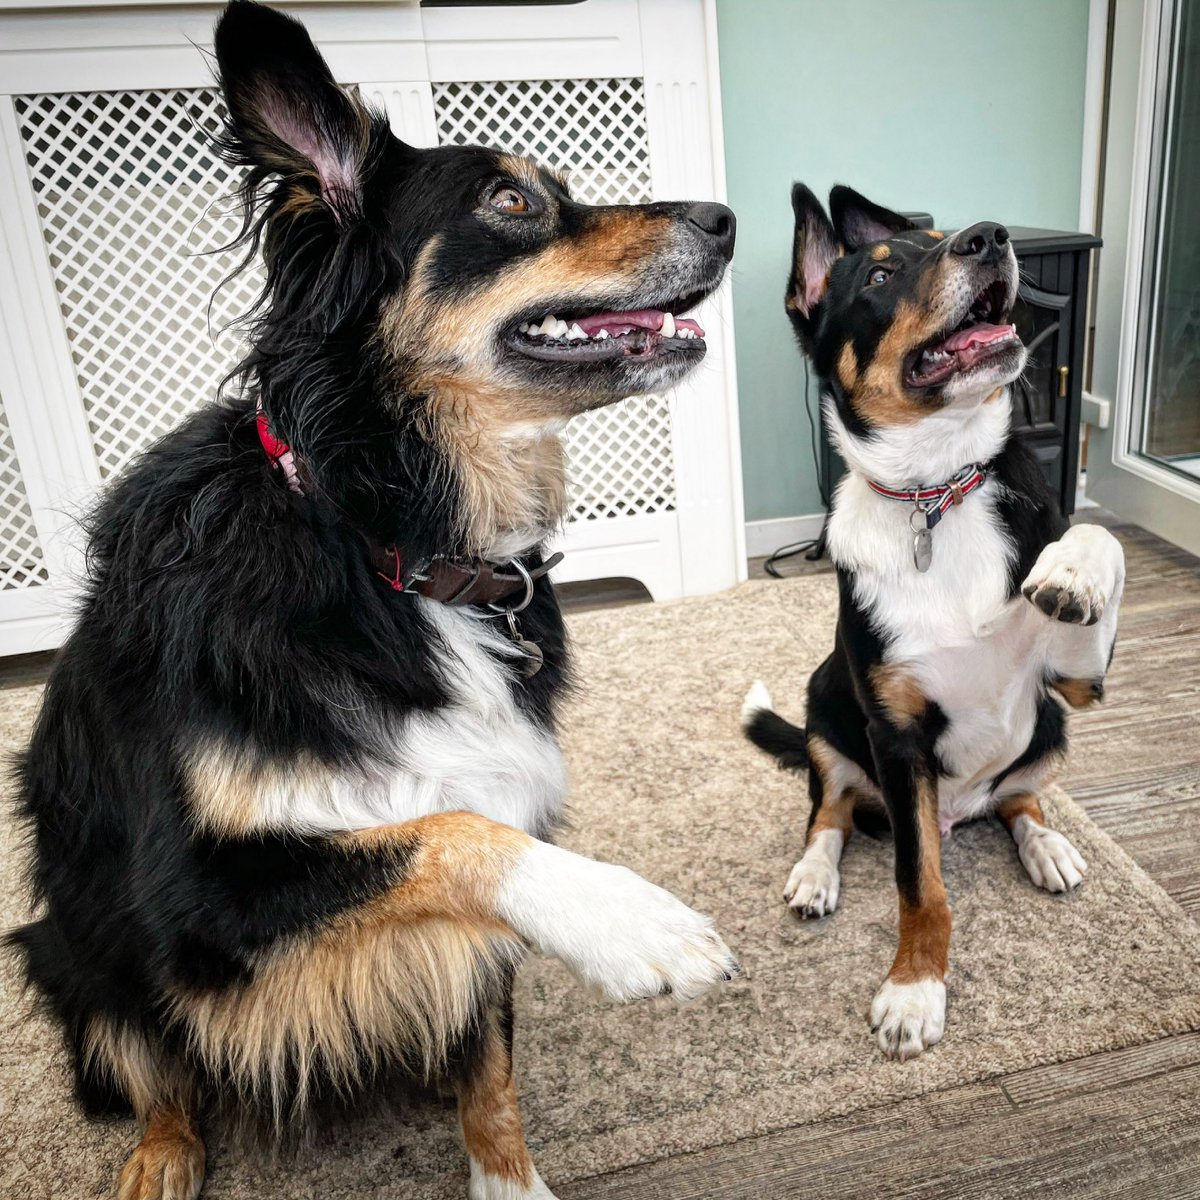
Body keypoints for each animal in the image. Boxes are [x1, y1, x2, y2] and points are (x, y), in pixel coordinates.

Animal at [11, 4, 739, 1195]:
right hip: (79, 944)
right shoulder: (199, 890)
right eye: (511, 202)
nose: (725, 219)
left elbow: (491, 1056)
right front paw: (630, 920)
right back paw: (161, 1155)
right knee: (156, 1071)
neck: (387, 541)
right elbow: (441, 832)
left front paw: (506, 1175)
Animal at [739, 184, 1123, 1060]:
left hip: (1051, 728)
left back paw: (1048, 845)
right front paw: (915, 990)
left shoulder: (1078, 685)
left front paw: (1073, 571)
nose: (991, 237)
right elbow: (921, 886)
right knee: (830, 807)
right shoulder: (897, 737)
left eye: (947, 238)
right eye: (880, 274)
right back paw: (815, 873)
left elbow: (1099, 537)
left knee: (1019, 798)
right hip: (826, 702)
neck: (936, 492)